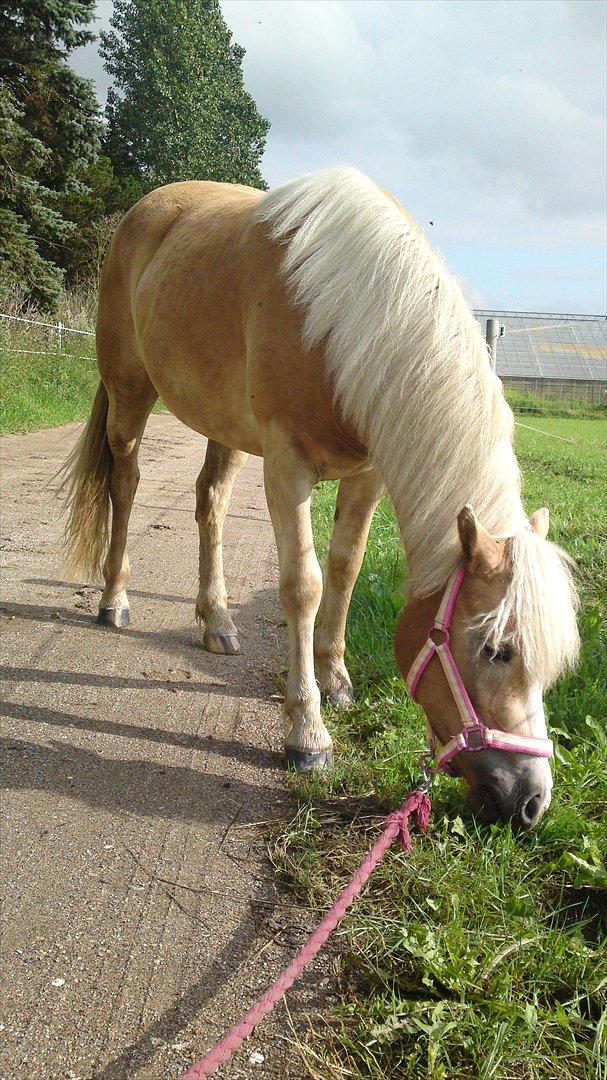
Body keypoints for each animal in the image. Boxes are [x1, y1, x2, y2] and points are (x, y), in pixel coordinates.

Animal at [60, 166, 574, 825]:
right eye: (495, 650)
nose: (530, 802)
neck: (343, 317)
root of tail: (147, 210)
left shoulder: (368, 474)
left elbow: (345, 568)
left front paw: (336, 680)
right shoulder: (287, 465)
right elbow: (302, 586)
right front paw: (307, 734)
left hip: (226, 426)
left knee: (210, 502)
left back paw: (217, 622)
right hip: (130, 393)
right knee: (126, 486)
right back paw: (115, 599)